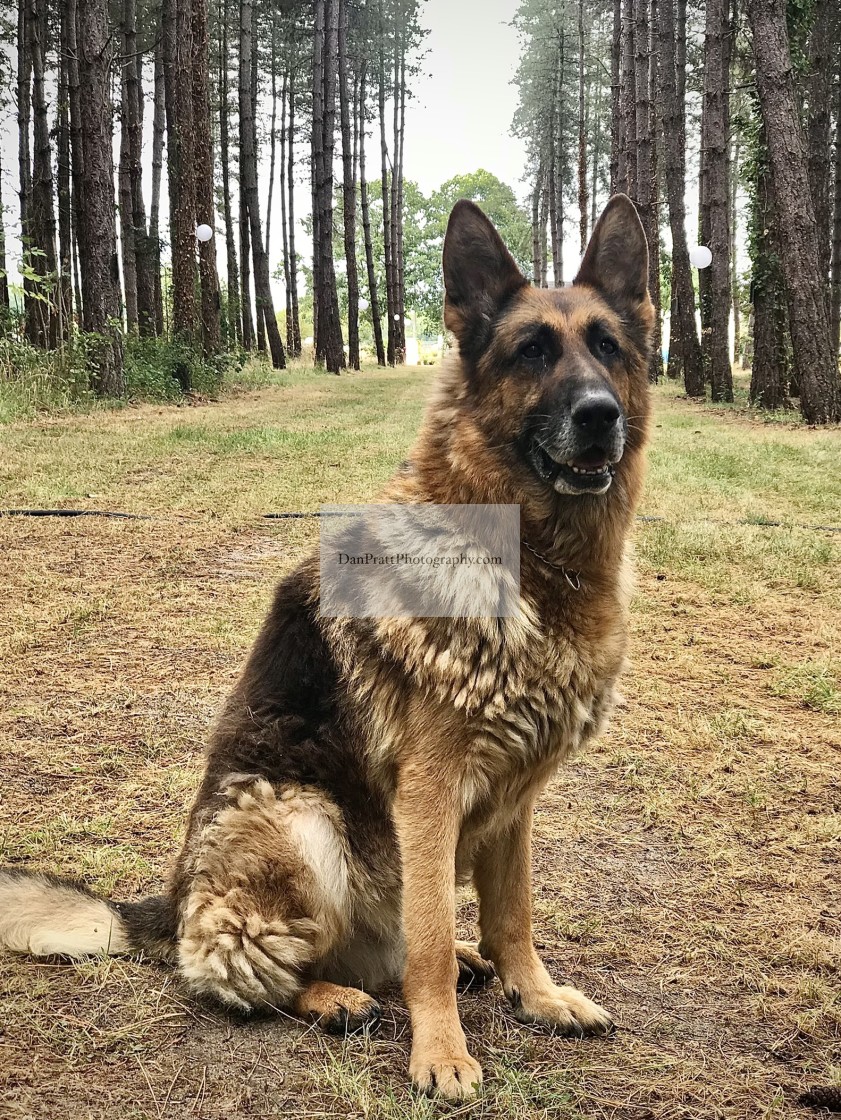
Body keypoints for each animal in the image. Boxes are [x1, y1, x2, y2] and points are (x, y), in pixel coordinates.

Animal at [0, 197, 653, 1097]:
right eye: (531, 351)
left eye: (607, 347)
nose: (599, 415)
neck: (530, 558)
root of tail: (172, 902)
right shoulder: (430, 789)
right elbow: (428, 948)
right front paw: (440, 1052)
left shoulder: (515, 798)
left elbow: (513, 914)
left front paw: (536, 995)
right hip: (299, 819)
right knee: (236, 970)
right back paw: (332, 996)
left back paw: (451, 962)